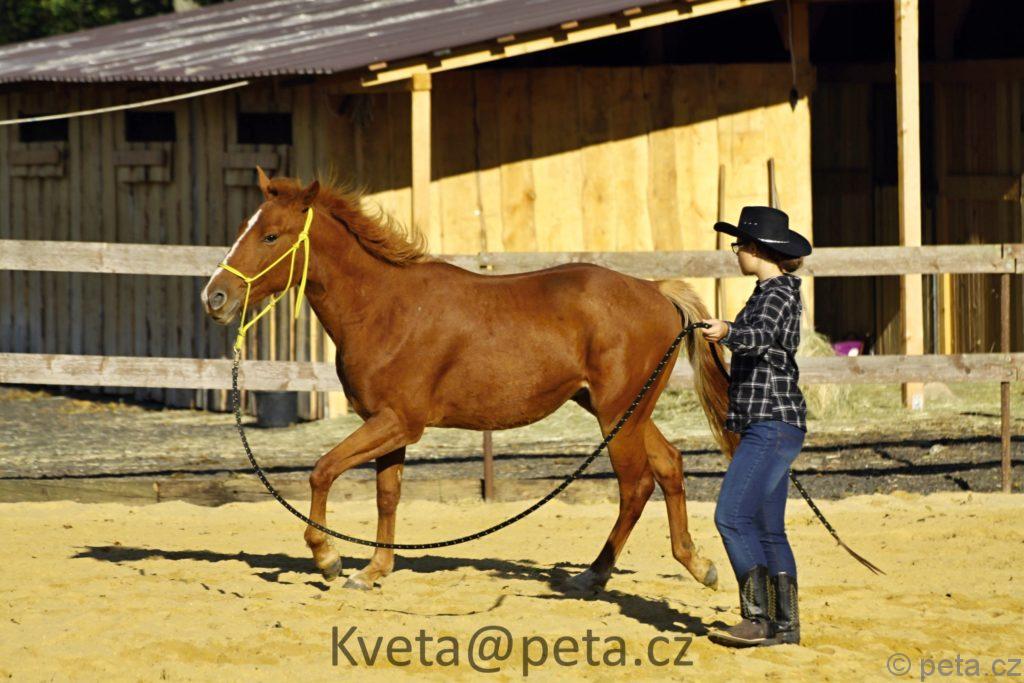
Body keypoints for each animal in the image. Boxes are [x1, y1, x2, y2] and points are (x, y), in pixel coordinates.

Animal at [202, 167, 737, 592]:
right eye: (244, 228)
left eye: (271, 236)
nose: (215, 297)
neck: (385, 308)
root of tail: (657, 291)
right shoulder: (386, 426)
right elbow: (387, 496)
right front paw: (373, 571)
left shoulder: (398, 423)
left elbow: (322, 470)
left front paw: (329, 558)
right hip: (625, 410)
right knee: (668, 466)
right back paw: (698, 564)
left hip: (617, 413)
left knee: (635, 485)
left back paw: (593, 575)